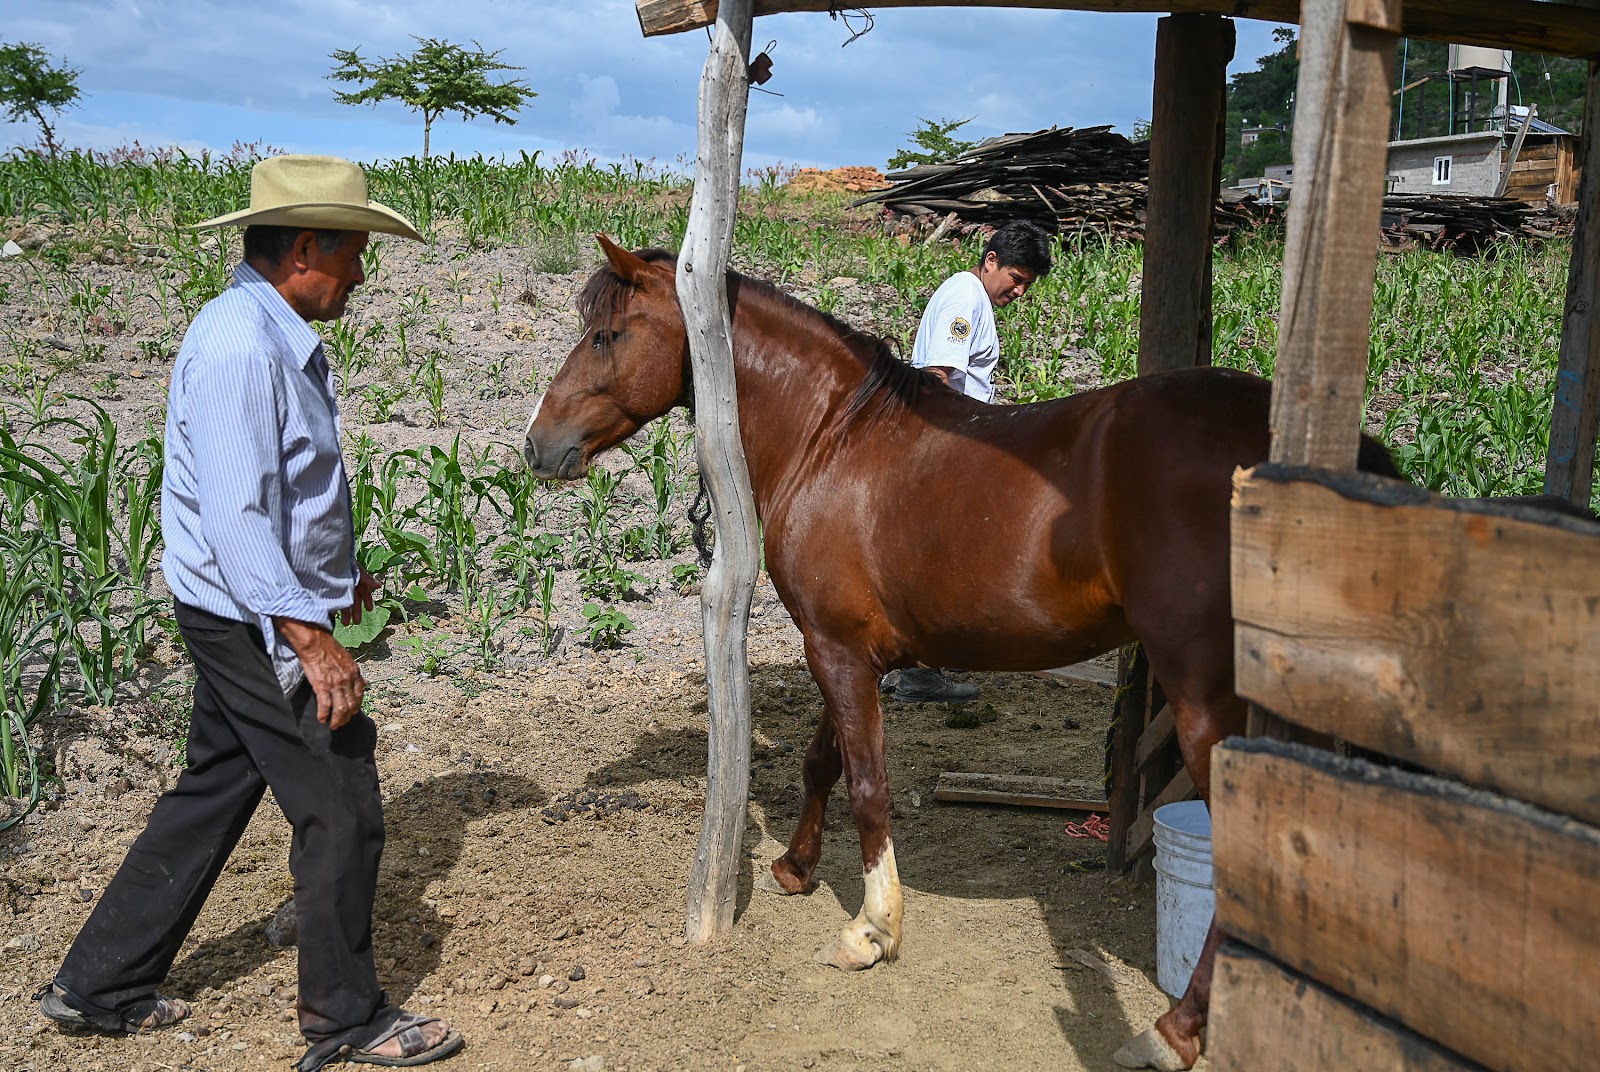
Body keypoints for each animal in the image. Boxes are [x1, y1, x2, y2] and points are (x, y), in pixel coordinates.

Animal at [528, 236, 1401, 1072]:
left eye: (606, 334)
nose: (538, 447)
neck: (833, 438)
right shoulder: (846, 650)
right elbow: (823, 762)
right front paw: (797, 869)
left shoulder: (838, 652)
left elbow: (868, 788)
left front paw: (871, 931)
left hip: (1209, 704)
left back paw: (1173, 1030)